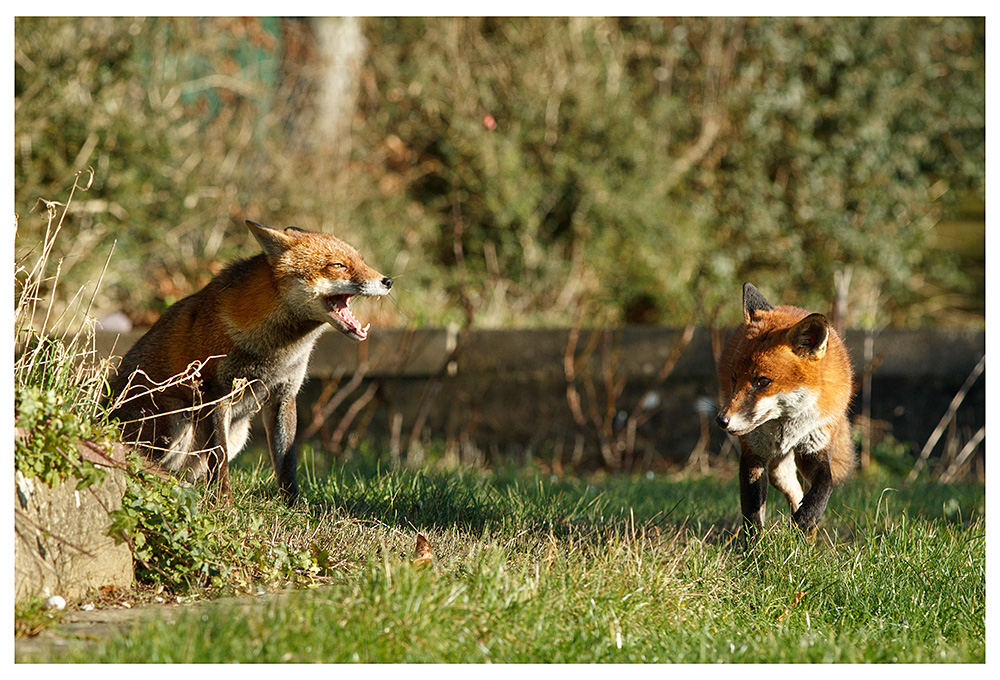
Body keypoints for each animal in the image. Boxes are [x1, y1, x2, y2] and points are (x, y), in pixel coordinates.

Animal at [107, 220, 393, 502]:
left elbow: (286, 460)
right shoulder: (215, 393)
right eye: (338, 265)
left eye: (362, 261)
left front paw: (292, 505)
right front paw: (224, 502)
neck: (276, 350)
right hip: (178, 417)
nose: (388, 281)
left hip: (239, 432)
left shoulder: (284, 395)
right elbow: (219, 457)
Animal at [716, 282, 856, 535]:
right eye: (734, 379)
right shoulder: (754, 454)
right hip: (776, 468)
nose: (722, 420)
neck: (787, 425)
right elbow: (752, 514)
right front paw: (756, 545)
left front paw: (808, 517)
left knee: (802, 490)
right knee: (792, 488)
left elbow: (825, 484)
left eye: (762, 381)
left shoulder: (814, 447)